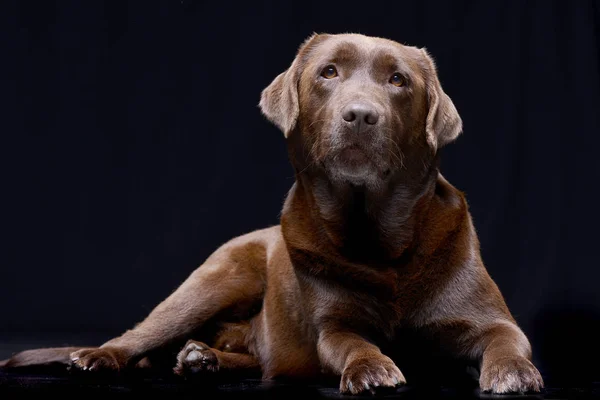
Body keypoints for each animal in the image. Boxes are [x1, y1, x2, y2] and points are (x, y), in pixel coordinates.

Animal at [0, 32, 544, 396]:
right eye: (329, 72)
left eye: (398, 80)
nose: (361, 115)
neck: (377, 240)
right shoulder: (333, 328)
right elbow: (352, 344)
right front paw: (372, 369)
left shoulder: (492, 319)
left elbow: (507, 340)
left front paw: (512, 372)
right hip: (211, 283)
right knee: (137, 335)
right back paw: (100, 357)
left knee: (256, 358)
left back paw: (203, 358)